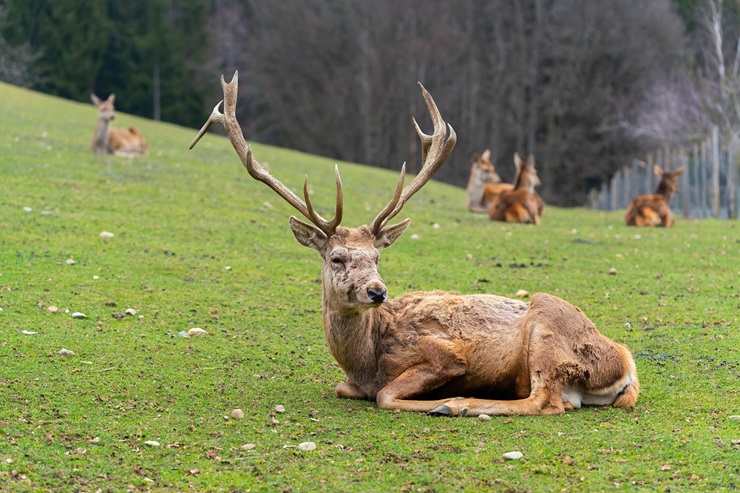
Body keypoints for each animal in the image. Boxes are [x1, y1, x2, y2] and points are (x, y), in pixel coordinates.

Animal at [189, 73, 636, 418]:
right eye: (337, 257)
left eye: (377, 256)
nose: (377, 291)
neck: (366, 359)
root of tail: (626, 365)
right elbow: (343, 387)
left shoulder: (446, 353)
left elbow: (386, 394)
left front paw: (440, 399)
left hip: (547, 327)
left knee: (545, 401)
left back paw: (457, 404)